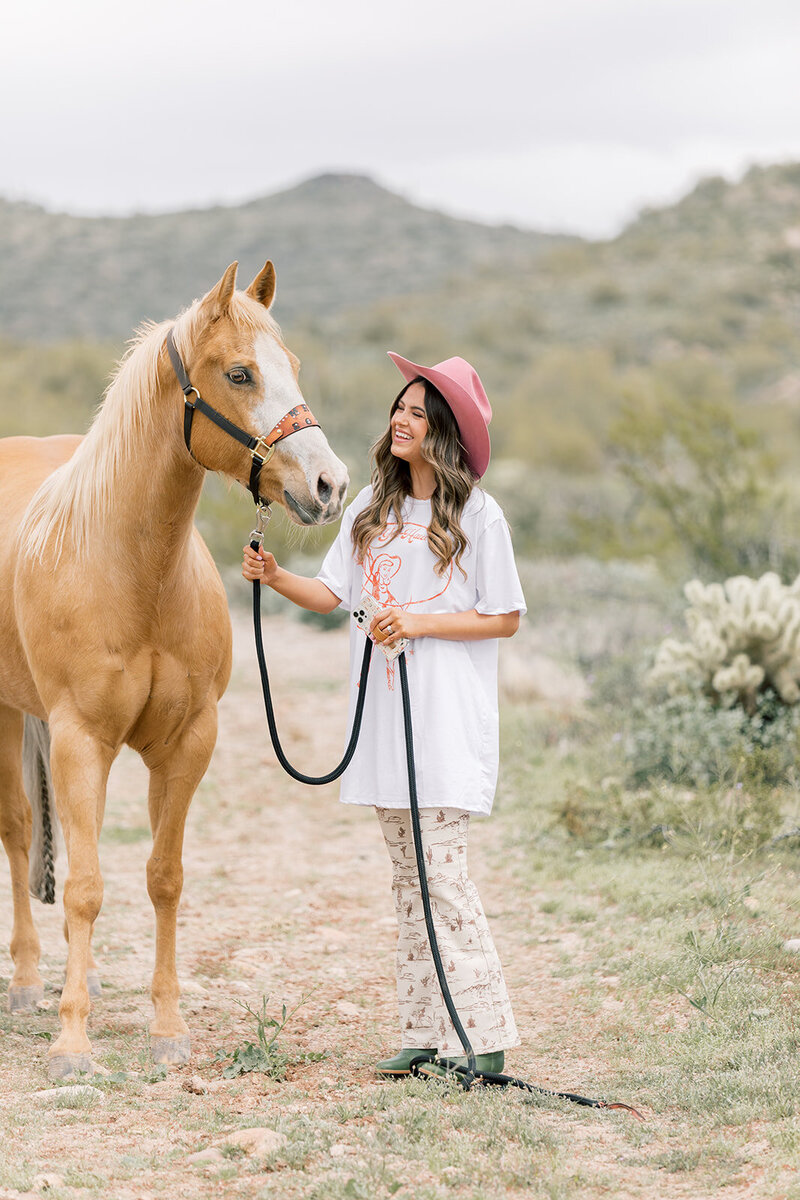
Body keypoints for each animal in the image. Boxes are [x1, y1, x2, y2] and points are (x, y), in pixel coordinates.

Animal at [0, 262, 350, 1080]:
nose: (330, 485)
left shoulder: (188, 741)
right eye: (240, 373)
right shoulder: (80, 740)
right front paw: (71, 1042)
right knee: (21, 832)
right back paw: (30, 981)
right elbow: (86, 886)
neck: (129, 568)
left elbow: (163, 877)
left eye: (293, 365)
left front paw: (166, 1028)